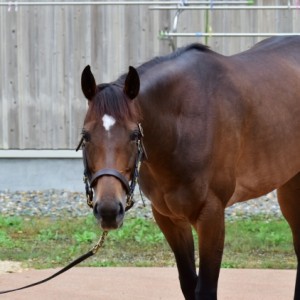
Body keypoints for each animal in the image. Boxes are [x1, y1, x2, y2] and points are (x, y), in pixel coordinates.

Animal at [79, 36, 300, 298]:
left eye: (135, 135)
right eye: (86, 136)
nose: (109, 211)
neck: (182, 126)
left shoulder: (211, 216)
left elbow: (205, 288)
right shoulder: (169, 218)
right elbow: (187, 283)